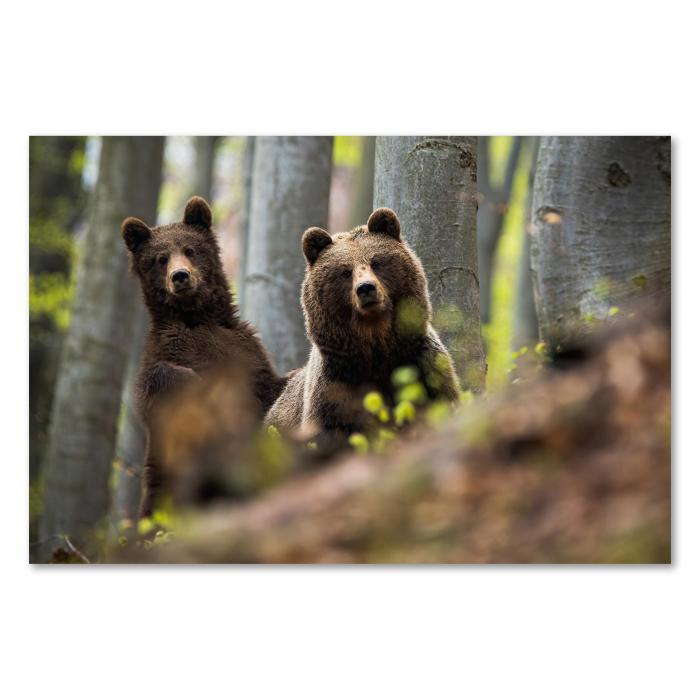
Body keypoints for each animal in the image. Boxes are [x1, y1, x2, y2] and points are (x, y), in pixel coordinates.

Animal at [121, 196, 286, 516]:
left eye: (190, 249)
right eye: (160, 258)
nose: (180, 276)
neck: (197, 317)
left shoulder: (245, 352)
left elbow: (269, 388)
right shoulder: (167, 349)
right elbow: (156, 386)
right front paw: (194, 383)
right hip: (163, 484)